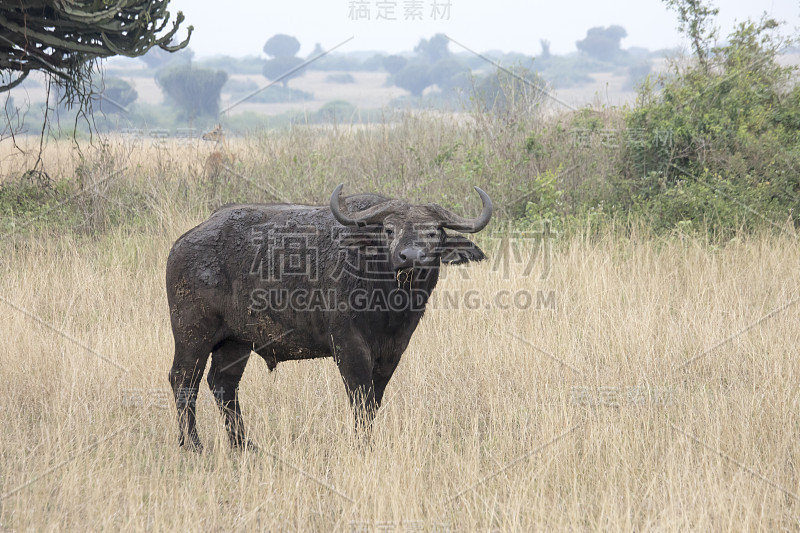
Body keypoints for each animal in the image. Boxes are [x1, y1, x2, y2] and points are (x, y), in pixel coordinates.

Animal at [168, 183, 490, 448]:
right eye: (389, 230)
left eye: (434, 232)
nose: (410, 256)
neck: (387, 302)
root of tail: (183, 242)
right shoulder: (349, 346)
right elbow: (361, 399)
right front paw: (362, 446)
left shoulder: (393, 351)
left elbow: (375, 400)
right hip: (192, 333)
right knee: (184, 380)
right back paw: (193, 444)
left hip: (236, 342)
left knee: (223, 384)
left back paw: (243, 444)